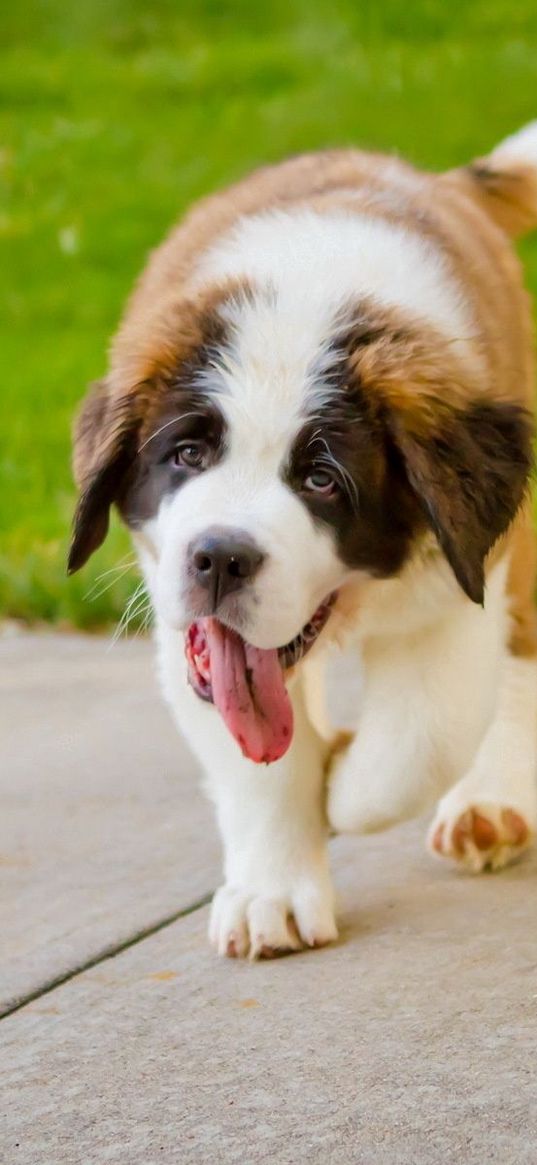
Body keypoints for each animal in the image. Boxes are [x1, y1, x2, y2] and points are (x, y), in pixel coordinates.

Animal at [69, 120, 535, 955]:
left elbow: (415, 743)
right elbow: (256, 764)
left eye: (321, 480)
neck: (304, 301)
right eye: (188, 454)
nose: (219, 559)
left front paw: (340, 776)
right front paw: (273, 891)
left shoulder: (457, 587)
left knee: (517, 649)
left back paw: (489, 799)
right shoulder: (181, 625)